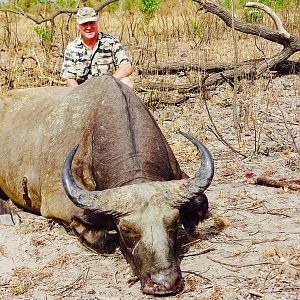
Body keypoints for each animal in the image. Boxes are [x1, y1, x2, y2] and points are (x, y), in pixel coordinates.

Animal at [0, 75, 213, 296]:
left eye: (173, 224)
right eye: (127, 230)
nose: (164, 282)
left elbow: (201, 202)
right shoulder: (56, 199)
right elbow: (97, 234)